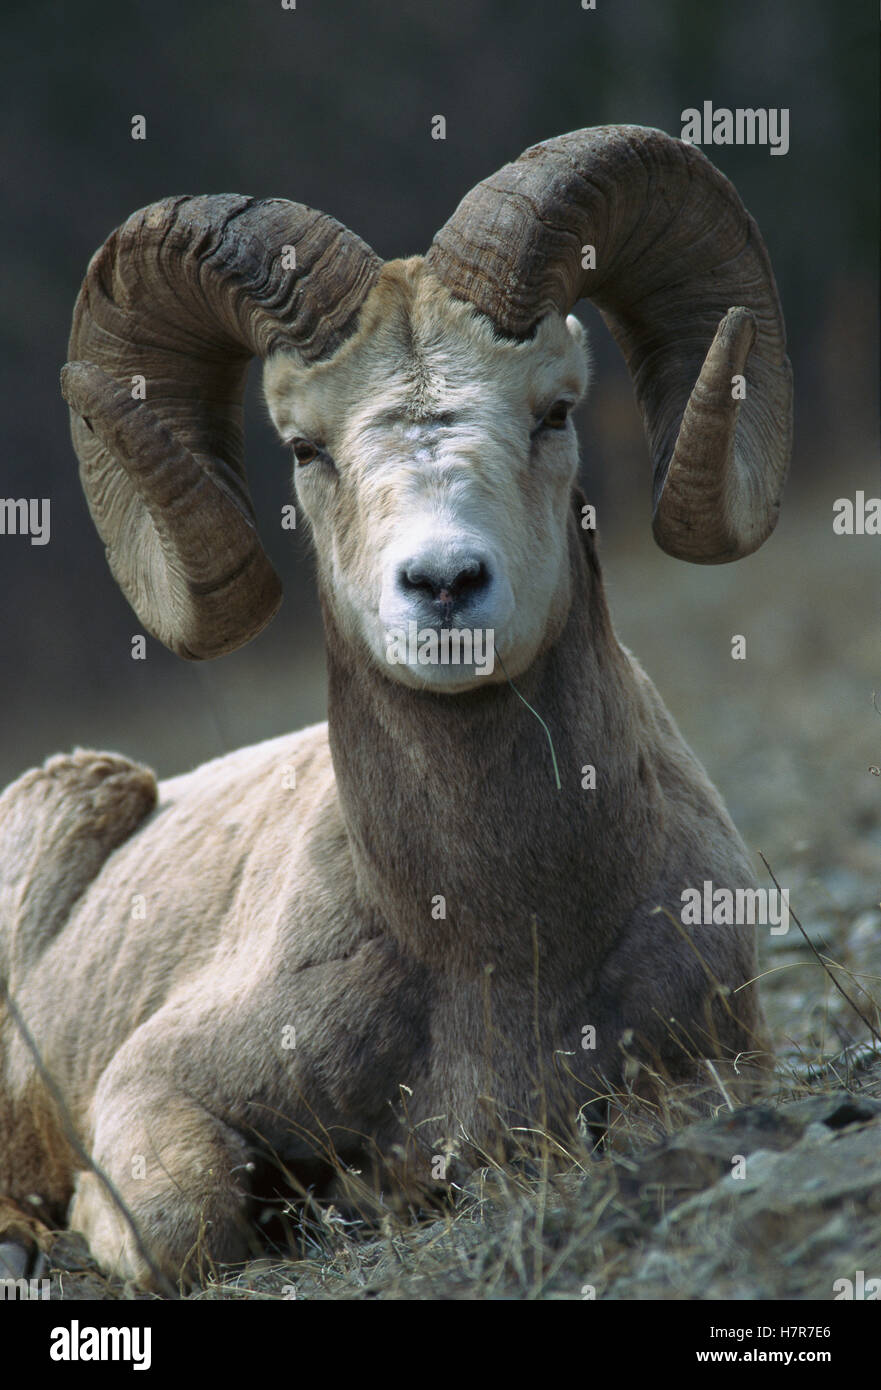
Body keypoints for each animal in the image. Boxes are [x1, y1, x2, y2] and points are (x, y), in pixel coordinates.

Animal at [0, 125, 792, 1290]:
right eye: (305, 447)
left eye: (552, 410)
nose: (444, 584)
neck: (493, 949)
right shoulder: (150, 1097)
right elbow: (186, 1223)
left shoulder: (709, 1062)